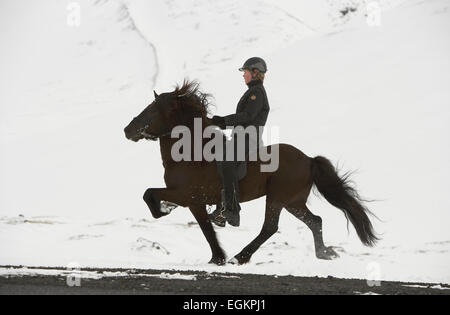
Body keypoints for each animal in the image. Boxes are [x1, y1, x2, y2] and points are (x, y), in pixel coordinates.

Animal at [122, 80, 376, 266]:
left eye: (152, 110)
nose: (127, 130)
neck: (192, 153)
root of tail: (308, 160)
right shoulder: (193, 201)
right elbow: (204, 227)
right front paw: (216, 256)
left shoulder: (189, 196)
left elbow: (152, 195)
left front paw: (165, 210)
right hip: (293, 202)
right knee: (315, 221)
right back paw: (324, 253)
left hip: (277, 198)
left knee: (270, 228)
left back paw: (240, 257)